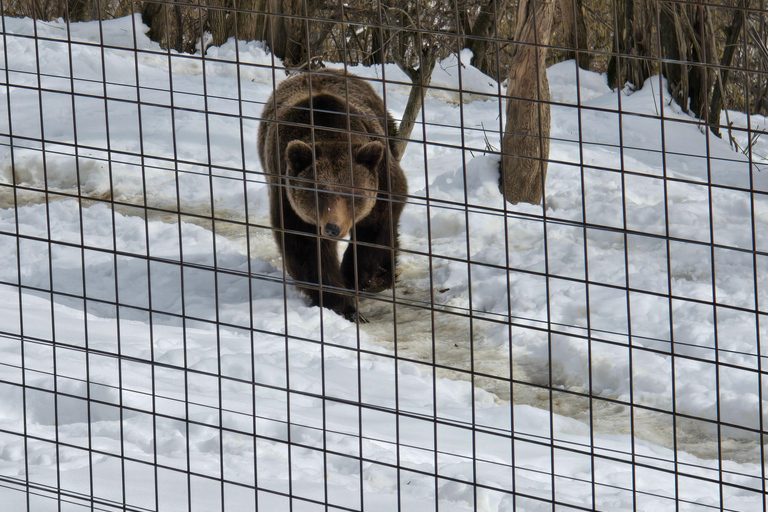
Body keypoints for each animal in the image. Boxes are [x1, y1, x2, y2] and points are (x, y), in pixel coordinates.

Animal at [257, 70, 407, 322]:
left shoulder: (381, 183)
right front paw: (343, 305)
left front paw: (356, 279)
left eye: (352, 193)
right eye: (318, 193)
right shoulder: (288, 196)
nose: (332, 228)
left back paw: (385, 276)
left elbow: (373, 231)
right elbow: (307, 250)